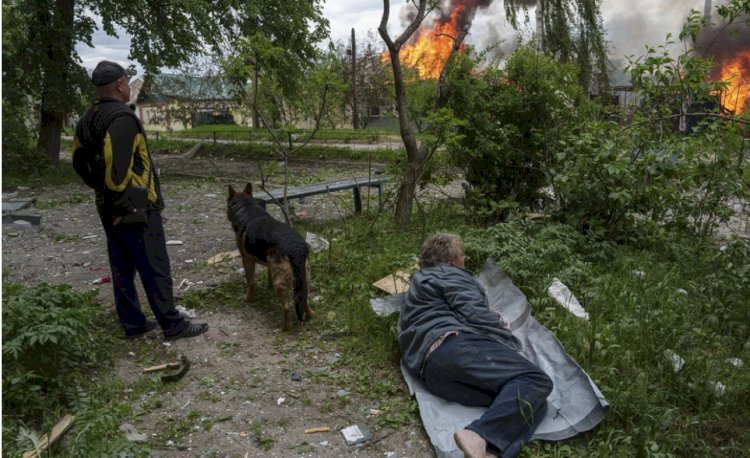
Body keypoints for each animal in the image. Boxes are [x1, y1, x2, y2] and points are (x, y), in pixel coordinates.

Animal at [228, 182, 312, 330]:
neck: (246, 208)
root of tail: (296, 248)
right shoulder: (269, 264)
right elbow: (267, 276)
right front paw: (269, 288)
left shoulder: (247, 259)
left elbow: (250, 281)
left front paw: (248, 299)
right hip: (304, 278)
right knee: (305, 299)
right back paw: (309, 316)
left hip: (282, 282)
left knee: (286, 308)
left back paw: (286, 328)